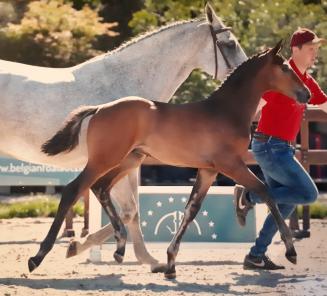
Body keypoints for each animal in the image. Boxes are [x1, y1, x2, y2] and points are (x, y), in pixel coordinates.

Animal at [29, 41, 312, 278]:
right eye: (285, 68)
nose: (307, 94)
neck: (225, 112)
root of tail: (99, 109)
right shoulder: (230, 165)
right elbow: (266, 191)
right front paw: (291, 252)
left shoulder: (208, 170)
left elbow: (191, 209)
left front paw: (170, 264)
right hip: (104, 160)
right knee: (73, 190)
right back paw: (37, 257)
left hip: (128, 161)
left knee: (101, 188)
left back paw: (119, 247)